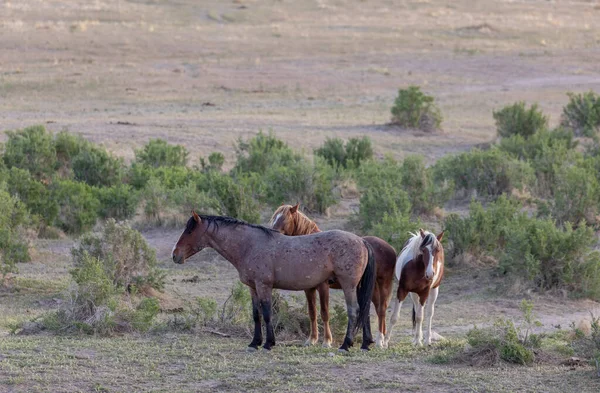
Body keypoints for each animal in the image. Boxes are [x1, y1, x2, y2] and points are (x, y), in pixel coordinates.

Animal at [171, 213, 376, 350]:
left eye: (190, 230)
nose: (175, 255)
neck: (249, 245)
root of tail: (361, 241)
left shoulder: (264, 286)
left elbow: (267, 314)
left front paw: (269, 343)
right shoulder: (253, 288)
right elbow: (256, 315)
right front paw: (255, 342)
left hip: (348, 286)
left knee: (354, 310)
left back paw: (346, 345)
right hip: (357, 287)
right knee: (364, 311)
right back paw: (365, 343)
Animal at [270, 204, 396, 348]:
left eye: (284, 219)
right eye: (274, 218)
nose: (272, 234)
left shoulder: (323, 287)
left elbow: (325, 313)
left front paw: (326, 341)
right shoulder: (309, 289)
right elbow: (312, 312)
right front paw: (312, 339)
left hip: (383, 284)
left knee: (381, 309)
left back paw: (380, 341)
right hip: (370, 288)